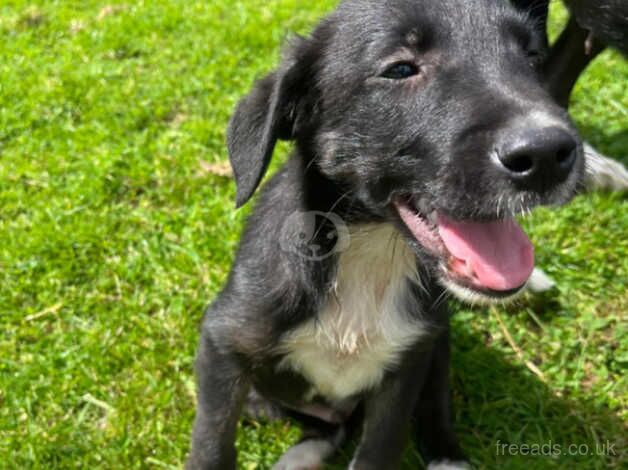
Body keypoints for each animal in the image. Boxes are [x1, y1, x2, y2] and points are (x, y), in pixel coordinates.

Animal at [185, 0, 584, 470]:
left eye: (533, 58)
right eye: (400, 69)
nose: (549, 154)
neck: (369, 249)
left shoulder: (406, 367)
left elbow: (380, 445)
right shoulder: (223, 342)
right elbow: (212, 442)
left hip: (437, 345)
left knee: (429, 409)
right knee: (326, 427)